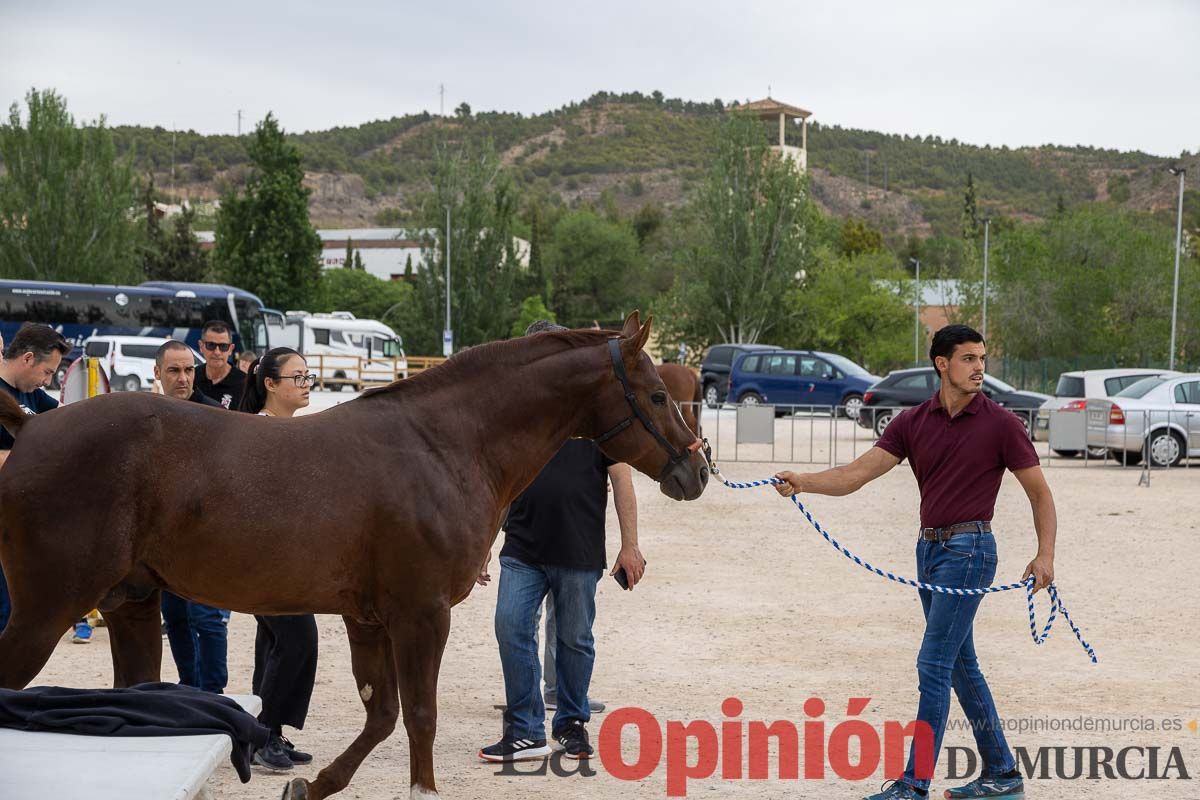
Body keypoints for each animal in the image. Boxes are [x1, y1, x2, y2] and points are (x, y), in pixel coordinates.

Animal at [0, 311, 700, 800]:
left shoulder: (368, 620)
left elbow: (382, 716)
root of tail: (33, 426)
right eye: (658, 396)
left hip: (133, 606)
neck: (445, 445)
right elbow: (420, 715)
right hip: (46, 610)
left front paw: (310, 784)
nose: (695, 470)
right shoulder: (421, 615)